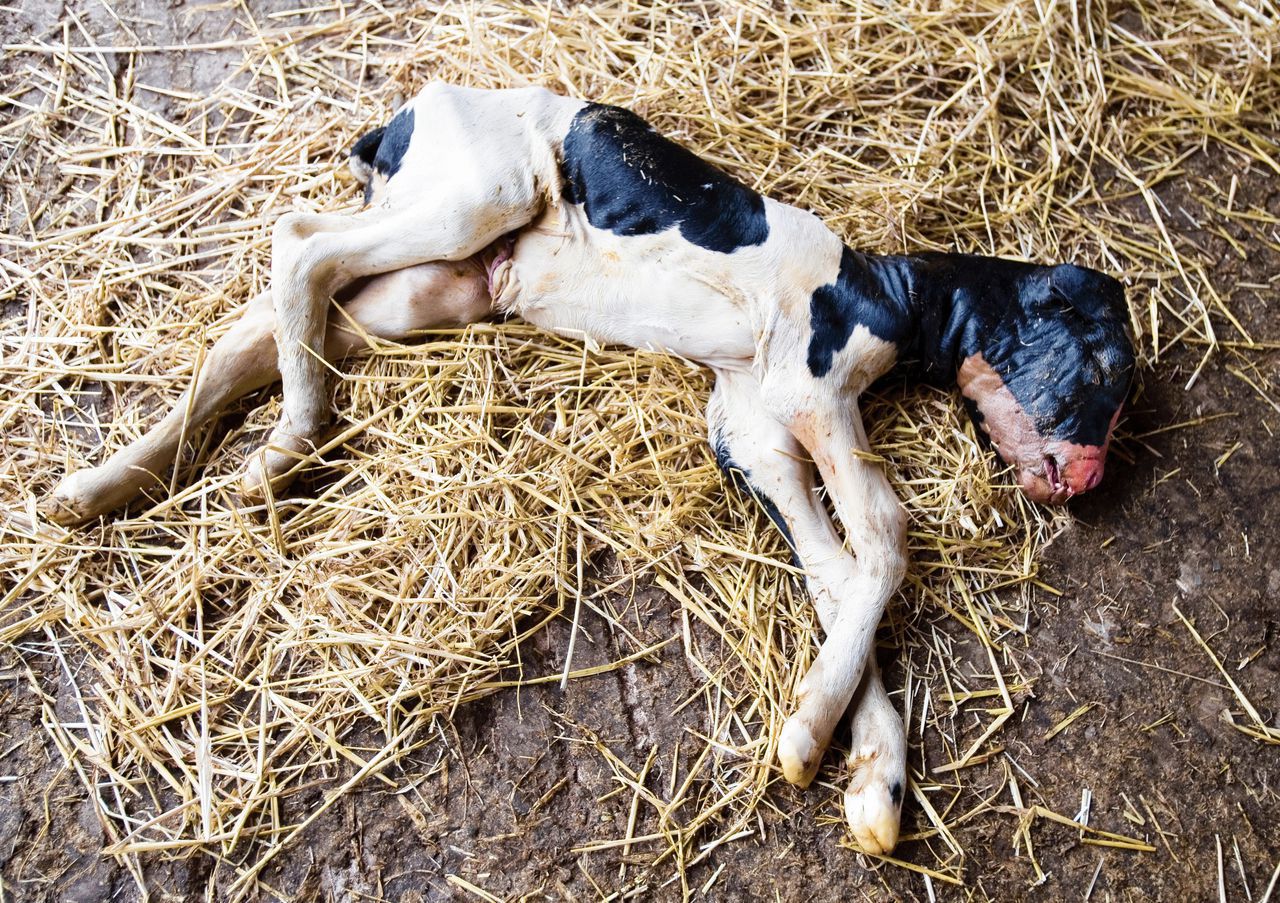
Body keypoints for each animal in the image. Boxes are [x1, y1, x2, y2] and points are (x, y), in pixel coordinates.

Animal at [47, 82, 1131, 850]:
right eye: (1109, 366)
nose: (1084, 481)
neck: (880, 292)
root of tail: (407, 115)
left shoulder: (751, 430)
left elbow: (832, 573)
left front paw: (864, 777)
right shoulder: (809, 392)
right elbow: (886, 538)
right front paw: (811, 743)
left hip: (437, 285)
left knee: (259, 327)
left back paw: (108, 489)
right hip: (474, 197)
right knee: (300, 242)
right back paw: (289, 440)